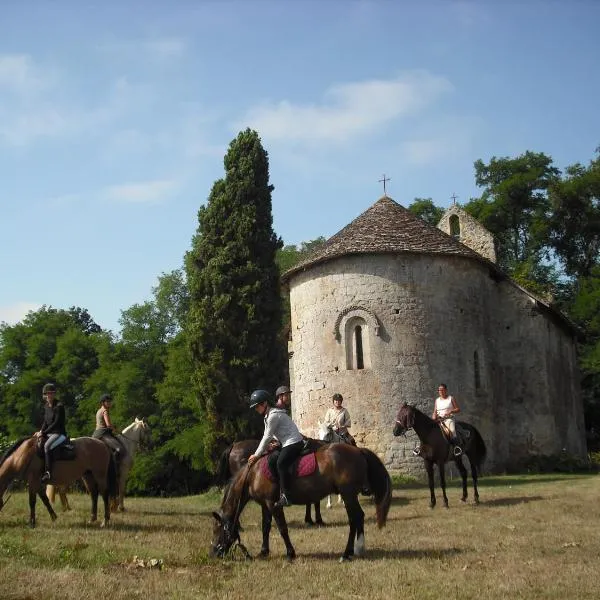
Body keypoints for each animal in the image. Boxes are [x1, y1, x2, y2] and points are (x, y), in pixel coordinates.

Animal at [212, 440, 394, 564]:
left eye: (217, 530)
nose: (213, 553)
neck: (252, 475)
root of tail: (358, 451)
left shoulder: (273, 504)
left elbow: (282, 528)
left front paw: (290, 553)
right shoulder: (265, 505)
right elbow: (265, 527)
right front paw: (263, 552)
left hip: (348, 495)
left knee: (354, 519)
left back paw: (347, 553)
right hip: (349, 495)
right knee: (359, 517)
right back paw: (358, 549)